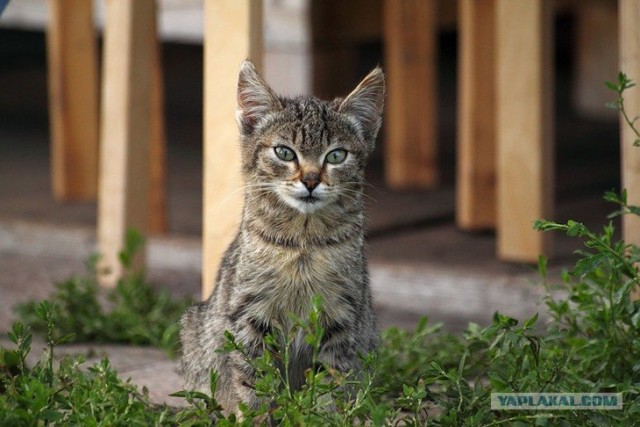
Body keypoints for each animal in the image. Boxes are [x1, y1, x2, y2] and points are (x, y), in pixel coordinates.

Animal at [178, 61, 382, 414]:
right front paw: (254, 414)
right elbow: (252, 377)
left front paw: (322, 415)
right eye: (285, 152)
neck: (303, 244)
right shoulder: (251, 312)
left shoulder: (341, 314)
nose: (311, 180)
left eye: (336, 156)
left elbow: (331, 378)